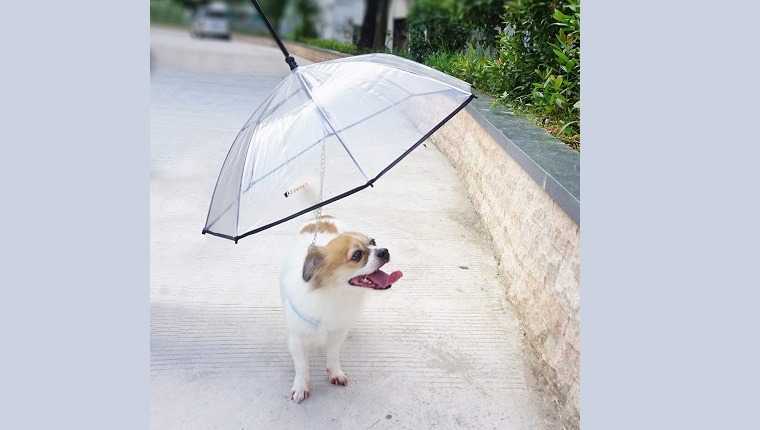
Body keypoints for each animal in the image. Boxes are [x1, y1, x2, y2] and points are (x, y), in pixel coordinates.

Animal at [280, 215, 404, 404]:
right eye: (357, 255)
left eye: (373, 242)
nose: (384, 251)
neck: (334, 294)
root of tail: (323, 216)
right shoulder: (297, 340)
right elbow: (302, 365)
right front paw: (301, 386)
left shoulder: (337, 333)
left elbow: (333, 356)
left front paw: (335, 373)